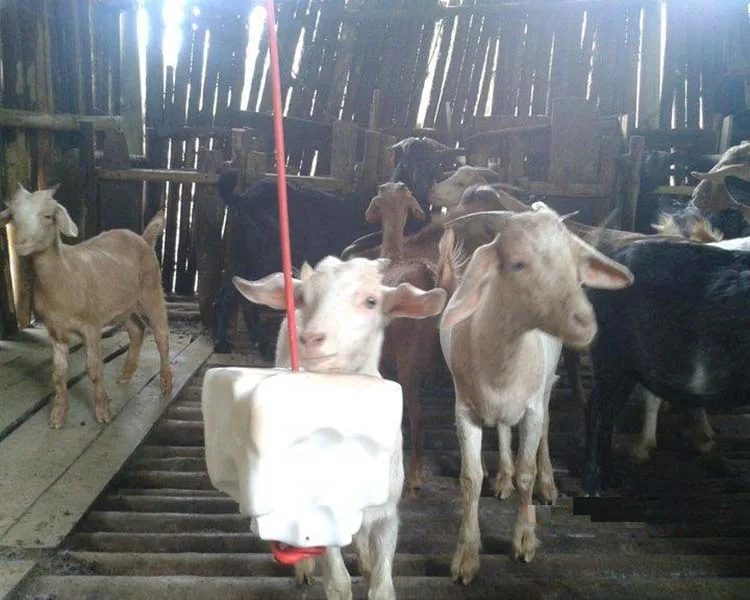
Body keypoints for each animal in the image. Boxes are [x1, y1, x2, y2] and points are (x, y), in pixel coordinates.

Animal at [0, 183, 172, 428]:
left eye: (48, 216)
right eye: (13, 216)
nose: (21, 244)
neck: (64, 273)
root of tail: (143, 238)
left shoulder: (91, 325)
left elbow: (94, 369)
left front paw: (102, 411)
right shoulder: (55, 330)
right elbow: (58, 373)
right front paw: (58, 414)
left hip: (151, 292)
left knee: (161, 335)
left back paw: (166, 384)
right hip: (123, 305)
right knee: (137, 329)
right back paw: (126, 374)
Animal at [233, 256, 447, 600]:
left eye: (372, 301)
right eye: (302, 298)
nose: (311, 339)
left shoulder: (388, 512)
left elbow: (383, 586)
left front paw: (371, 569)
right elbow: (337, 581)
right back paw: (304, 568)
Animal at [437, 205, 633, 583]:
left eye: (576, 265)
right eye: (517, 264)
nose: (586, 323)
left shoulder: (530, 408)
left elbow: (526, 471)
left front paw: (524, 539)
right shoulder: (463, 409)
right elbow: (470, 479)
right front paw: (466, 556)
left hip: (544, 389)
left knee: (544, 428)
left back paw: (546, 482)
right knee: (501, 428)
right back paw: (503, 477)